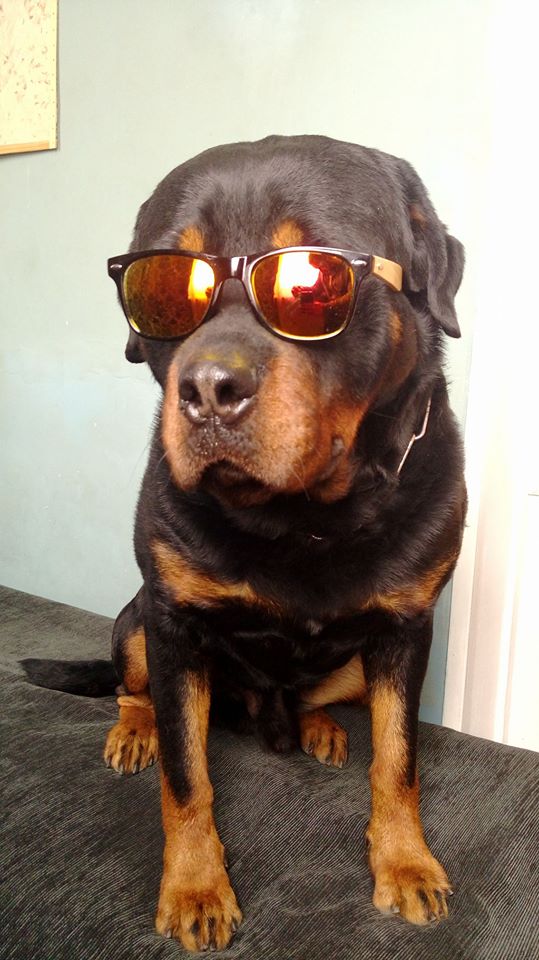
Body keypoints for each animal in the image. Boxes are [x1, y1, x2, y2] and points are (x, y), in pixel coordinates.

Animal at [24, 135, 466, 952]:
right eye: (166, 284)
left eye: (310, 280)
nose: (207, 388)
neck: (301, 515)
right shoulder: (172, 622)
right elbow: (186, 775)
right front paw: (196, 887)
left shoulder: (406, 629)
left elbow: (398, 760)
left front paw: (405, 863)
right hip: (135, 622)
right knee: (134, 690)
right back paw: (134, 730)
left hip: (352, 667)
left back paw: (319, 727)